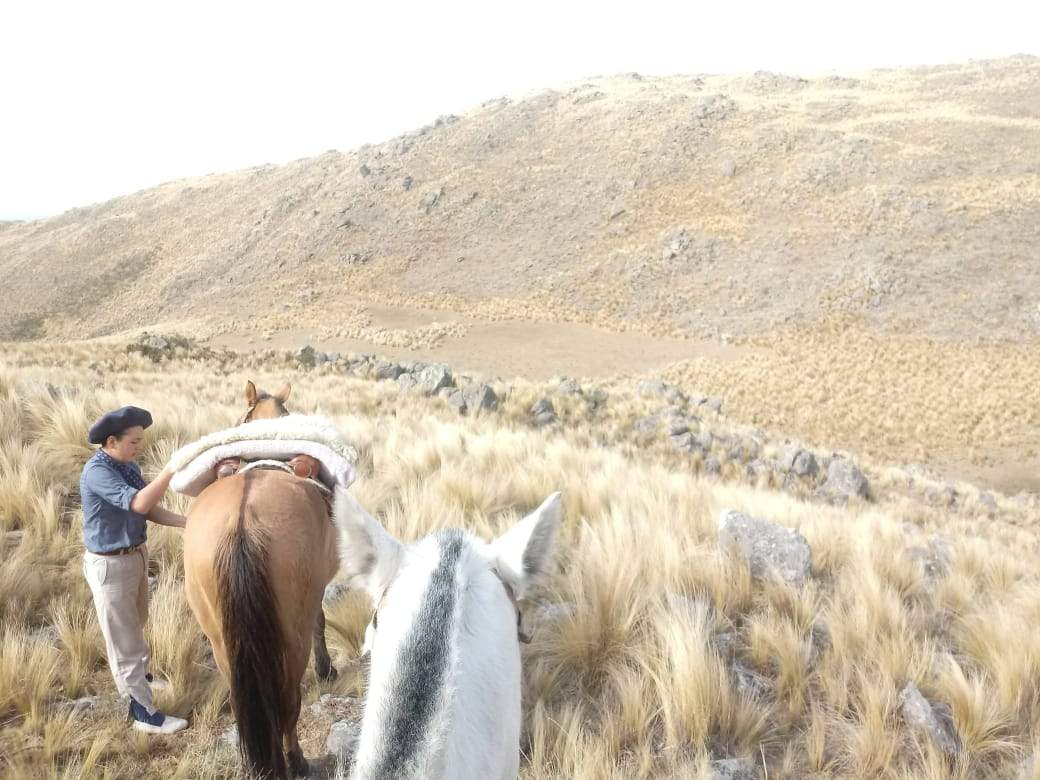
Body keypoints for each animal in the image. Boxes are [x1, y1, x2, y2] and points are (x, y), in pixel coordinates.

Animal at [183, 382, 336, 777]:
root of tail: (242, 522)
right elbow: (321, 620)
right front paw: (327, 668)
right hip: (291, 637)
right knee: (288, 703)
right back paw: (296, 761)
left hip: (220, 637)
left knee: (243, 703)